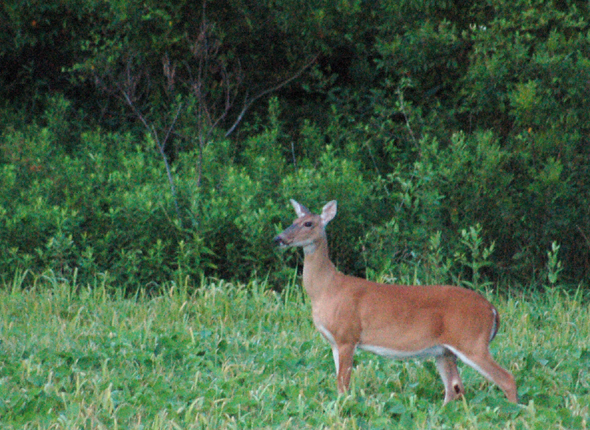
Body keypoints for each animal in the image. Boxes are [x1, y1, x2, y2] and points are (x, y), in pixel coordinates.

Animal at [274, 200, 520, 404]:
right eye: (292, 221)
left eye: (308, 223)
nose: (279, 238)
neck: (326, 289)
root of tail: (492, 309)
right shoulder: (334, 342)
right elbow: (340, 384)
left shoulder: (347, 336)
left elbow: (343, 385)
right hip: (444, 351)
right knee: (454, 387)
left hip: (471, 341)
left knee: (506, 378)